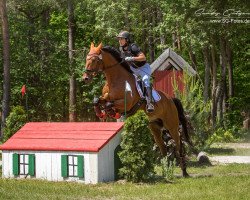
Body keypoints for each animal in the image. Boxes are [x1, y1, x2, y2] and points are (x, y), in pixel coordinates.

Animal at [84, 42, 191, 177]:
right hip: (154, 127)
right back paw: (165, 171)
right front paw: (101, 113)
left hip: (171, 125)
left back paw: (184, 171)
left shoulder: (127, 103)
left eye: (94, 60)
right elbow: (97, 101)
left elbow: (109, 104)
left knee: (179, 145)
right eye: (86, 58)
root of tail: (171, 99)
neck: (115, 79)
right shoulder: (105, 97)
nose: (85, 78)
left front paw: (111, 112)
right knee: (163, 148)